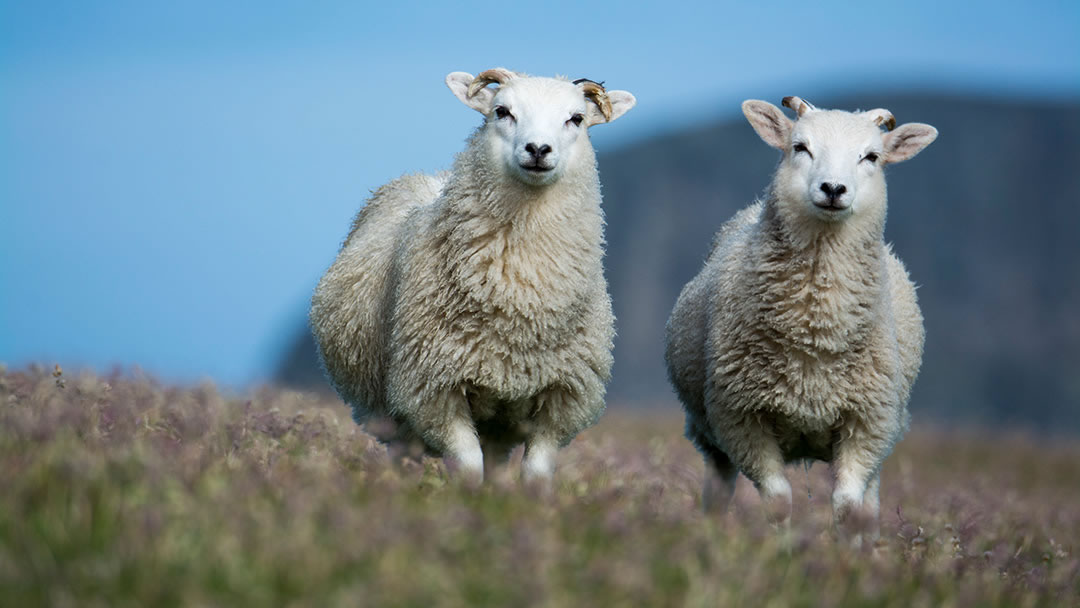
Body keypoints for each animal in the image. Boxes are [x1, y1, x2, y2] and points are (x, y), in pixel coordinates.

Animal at [308, 67, 635, 485]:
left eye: (576, 119)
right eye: (502, 111)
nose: (538, 149)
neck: (520, 295)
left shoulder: (561, 400)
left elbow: (534, 475)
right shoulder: (435, 391)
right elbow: (468, 468)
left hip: (499, 421)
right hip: (388, 415)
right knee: (401, 454)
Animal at [660, 95, 933, 537]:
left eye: (872, 156)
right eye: (800, 147)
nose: (833, 189)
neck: (813, 330)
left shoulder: (867, 422)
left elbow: (847, 507)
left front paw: (846, 554)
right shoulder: (741, 419)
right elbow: (778, 501)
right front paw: (782, 549)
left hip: (886, 430)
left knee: (869, 503)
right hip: (708, 432)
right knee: (718, 489)